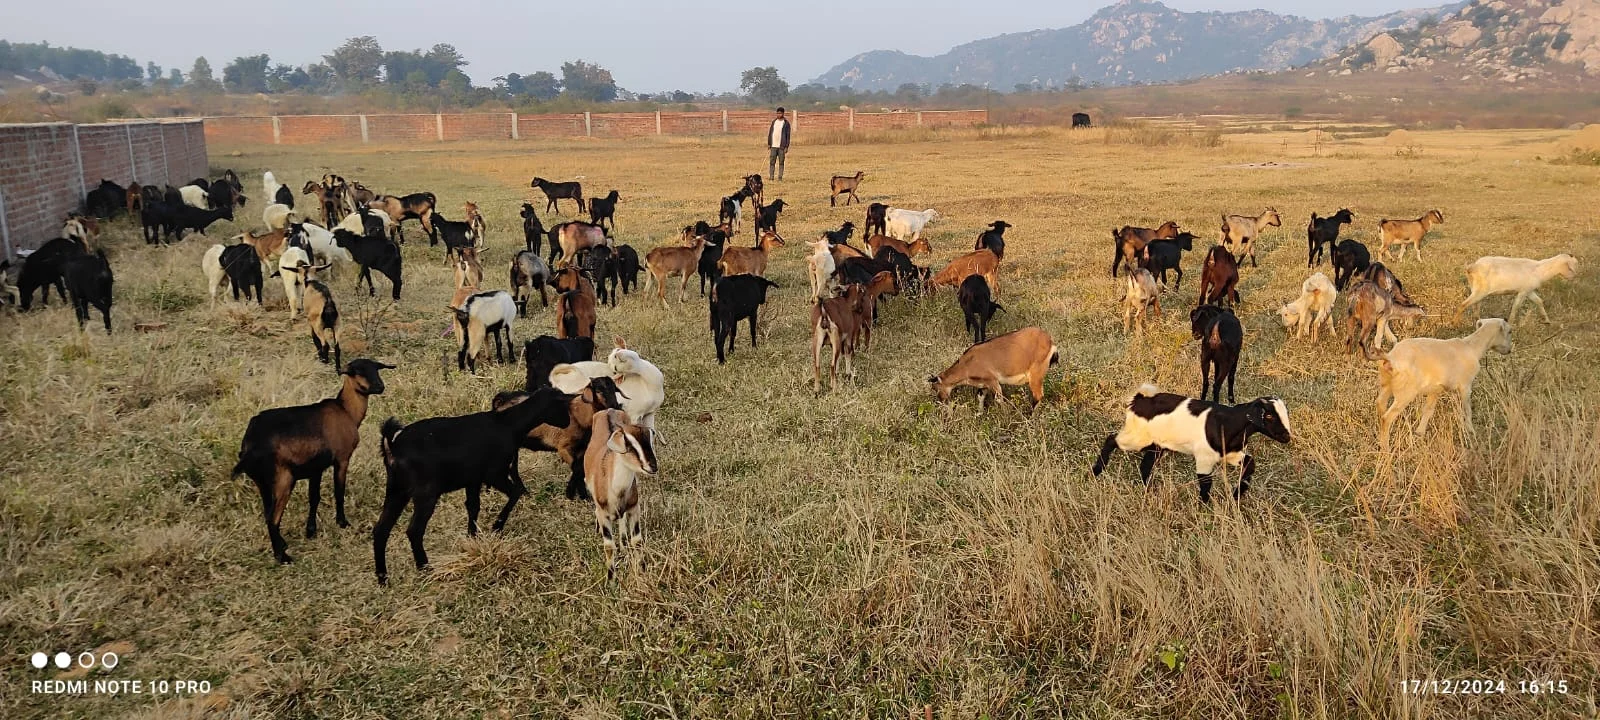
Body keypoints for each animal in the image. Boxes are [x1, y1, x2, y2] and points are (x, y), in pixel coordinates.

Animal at [234, 359, 393, 563]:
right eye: (357, 371)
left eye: (376, 368)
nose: (380, 386)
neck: (346, 411)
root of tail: (249, 446)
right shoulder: (342, 458)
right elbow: (339, 492)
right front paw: (342, 522)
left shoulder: (315, 468)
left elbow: (314, 498)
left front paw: (311, 531)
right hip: (283, 479)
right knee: (272, 518)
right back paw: (283, 556)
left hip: (262, 482)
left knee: (267, 512)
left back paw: (282, 546)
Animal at [372, 387, 571, 584]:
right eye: (562, 406)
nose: (567, 422)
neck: (508, 423)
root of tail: (392, 446)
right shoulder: (495, 473)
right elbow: (516, 492)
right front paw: (496, 527)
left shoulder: (473, 479)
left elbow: (473, 506)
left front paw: (473, 538)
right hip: (425, 492)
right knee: (414, 530)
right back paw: (425, 569)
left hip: (397, 490)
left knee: (381, 529)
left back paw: (383, 579)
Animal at [928, 326, 1058, 410]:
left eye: (936, 388)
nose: (942, 401)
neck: (967, 364)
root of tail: (1051, 342)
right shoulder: (983, 383)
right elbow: (980, 397)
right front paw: (979, 414)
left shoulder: (993, 381)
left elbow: (999, 399)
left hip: (1036, 374)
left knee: (1038, 396)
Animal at [1091, 384, 1291, 504]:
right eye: (1269, 415)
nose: (1286, 436)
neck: (1228, 422)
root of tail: (1140, 400)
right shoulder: (1205, 458)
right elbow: (1205, 482)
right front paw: (1205, 507)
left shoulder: (1230, 454)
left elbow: (1250, 463)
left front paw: (1236, 496)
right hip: (1138, 438)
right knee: (1112, 439)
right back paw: (1097, 471)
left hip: (1156, 445)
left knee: (1145, 465)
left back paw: (1149, 490)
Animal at [1377, 318, 1513, 451]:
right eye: (1509, 331)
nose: (1509, 350)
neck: (1472, 347)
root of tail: (1391, 358)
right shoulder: (1465, 386)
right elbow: (1467, 411)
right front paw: (1471, 433)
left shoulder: (1435, 389)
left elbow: (1428, 411)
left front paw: (1419, 434)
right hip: (1406, 392)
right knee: (1386, 418)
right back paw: (1386, 450)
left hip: (1386, 384)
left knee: (1380, 406)